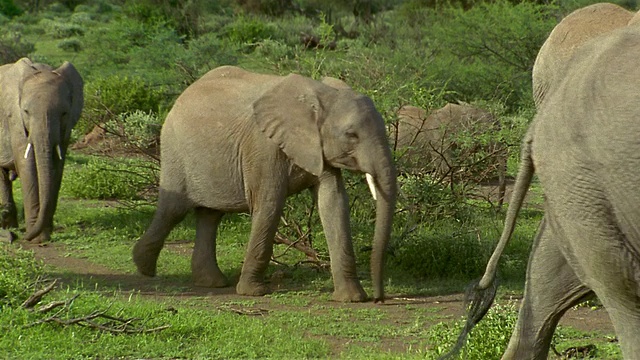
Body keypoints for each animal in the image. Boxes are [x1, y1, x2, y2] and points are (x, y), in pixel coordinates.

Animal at [0, 57, 84, 243]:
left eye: (64, 113)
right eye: (26, 111)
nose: (23, 237)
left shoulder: (66, 127)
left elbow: (57, 165)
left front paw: (44, 234)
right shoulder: (14, 119)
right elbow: (27, 165)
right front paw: (37, 238)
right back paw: (9, 226)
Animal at [132, 66, 398, 302]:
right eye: (351, 135)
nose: (379, 298)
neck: (320, 95)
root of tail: (182, 95)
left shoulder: (317, 148)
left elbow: (333, 203)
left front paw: (352, 298)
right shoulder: (263, 147)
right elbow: (270, 203)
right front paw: (253, 293)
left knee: (210, 215)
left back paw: (211, 282)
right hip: (175, 150)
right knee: (174, 209)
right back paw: (144, 268)